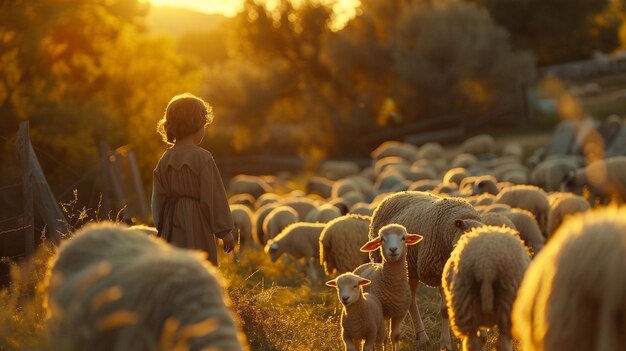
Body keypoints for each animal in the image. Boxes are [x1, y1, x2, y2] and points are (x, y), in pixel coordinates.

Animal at [366, 191, 482, 350]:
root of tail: (392, 196)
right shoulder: (438, 273)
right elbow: (445, 309)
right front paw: (445, 343)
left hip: (411, 270)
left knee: (411, 300)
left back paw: (421, 336)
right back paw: (421, 337)